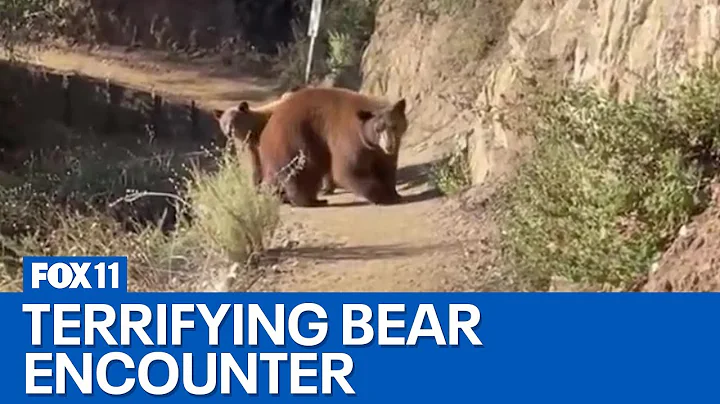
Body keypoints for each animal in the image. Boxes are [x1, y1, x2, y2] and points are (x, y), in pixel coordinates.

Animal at [256, 87, 408, 207]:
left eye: (394, 126)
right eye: (378, 129)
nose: (389, 145)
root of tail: (266, 131)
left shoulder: (381, 151)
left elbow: (387, 168)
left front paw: (394, 194)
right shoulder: (351, 140)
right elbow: (349, 170)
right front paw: (383, 197)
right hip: (295, 142)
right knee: (303, 172)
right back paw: (310, 201)